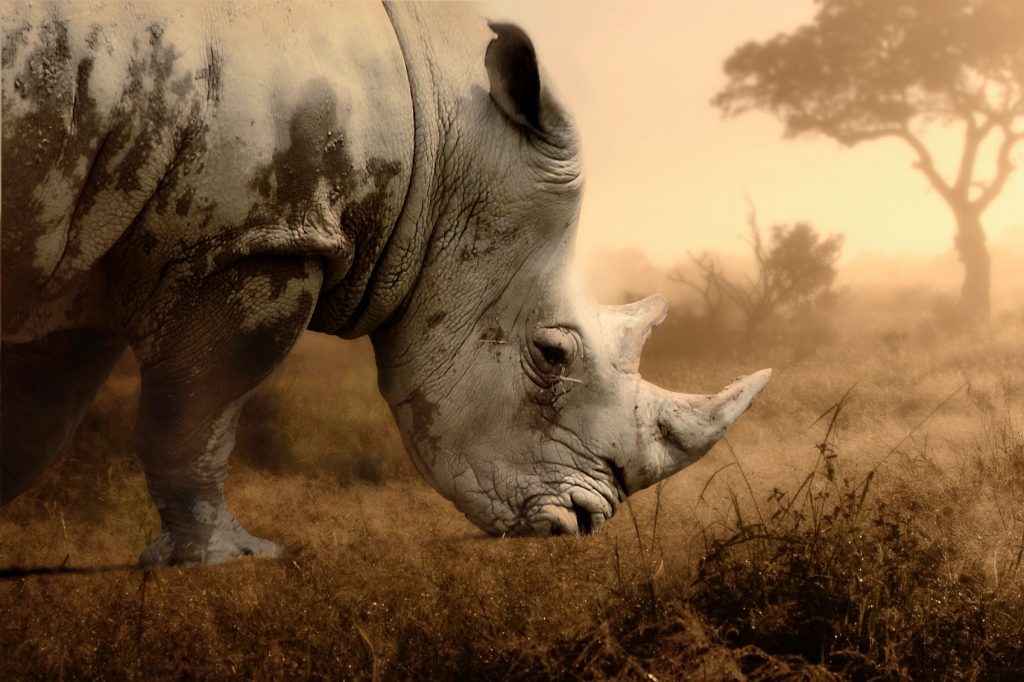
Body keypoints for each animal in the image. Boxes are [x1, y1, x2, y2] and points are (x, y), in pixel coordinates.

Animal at [1, 2, 770, 566]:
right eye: (552, 356)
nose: (584, 524)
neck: (444, 137)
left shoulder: (83, 253)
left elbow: (36, 420)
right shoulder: (257, 241)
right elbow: (196, 414)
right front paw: (230, 560)